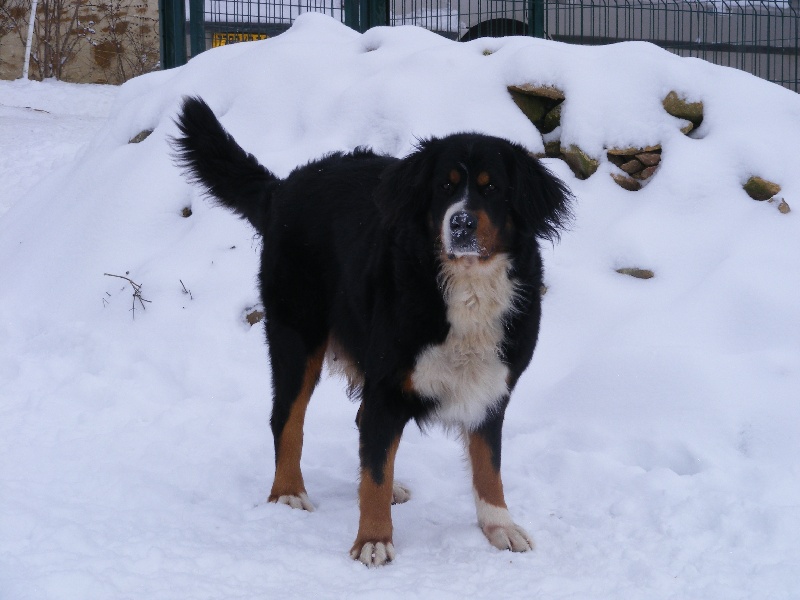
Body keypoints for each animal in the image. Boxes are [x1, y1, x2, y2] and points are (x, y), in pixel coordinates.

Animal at [173, 96, 572, 564]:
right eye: (444, 187)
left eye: (492, 189)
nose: (460, 224)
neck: (467, 286)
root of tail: (284, 187)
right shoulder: (388, 383)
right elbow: (375, 471)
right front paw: (374, 538)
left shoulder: (491, 386)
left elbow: (487, 466)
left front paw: (499, 525)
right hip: (298, 336)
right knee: (287, 419)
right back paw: (287, 492)